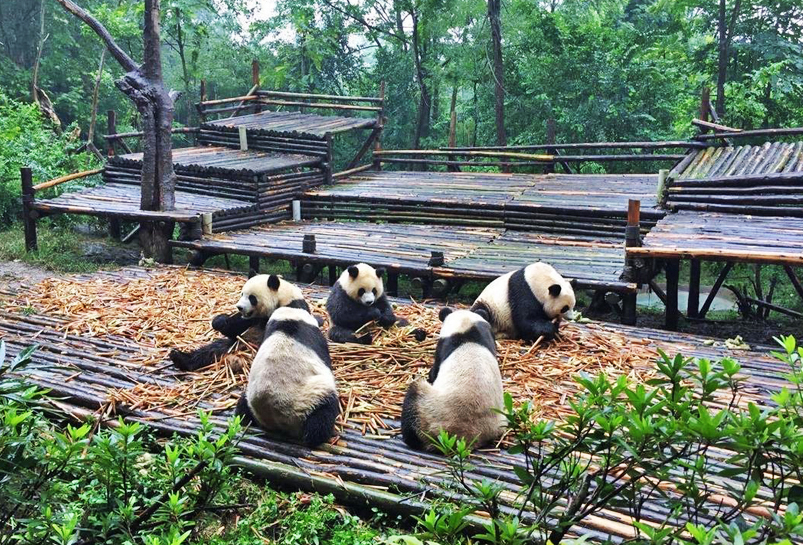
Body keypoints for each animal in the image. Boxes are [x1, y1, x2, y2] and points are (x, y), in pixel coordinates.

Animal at [169, 273, 311, 372]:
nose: (239, 307)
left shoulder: (292, 307)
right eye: (242, 294)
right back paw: (180, 358)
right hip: (234, 344)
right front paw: (219, 321)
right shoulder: (251, 320)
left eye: (252, 298)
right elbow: (235, 327)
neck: (281, 296)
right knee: (211, 350)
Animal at [235, 306, 339, 447]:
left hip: (250, 393)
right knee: (320, 420)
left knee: (242, 408)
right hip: (309, 398)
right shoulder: (316, 337)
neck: (288, 320)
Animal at [401, 307, 505, 451]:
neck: (467, 331)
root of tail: (469, 437)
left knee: (414, 396)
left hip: (430, 411)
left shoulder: (444, 345)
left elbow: (434, 371)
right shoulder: (487, 335)